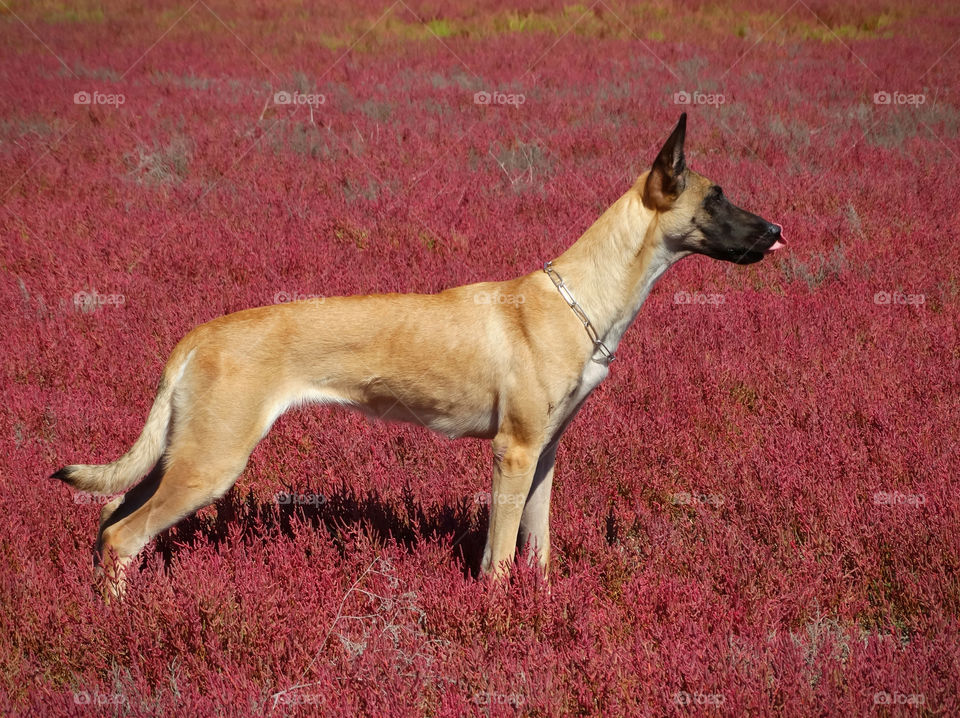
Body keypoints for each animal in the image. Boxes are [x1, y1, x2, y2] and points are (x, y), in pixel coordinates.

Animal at [52, 114, 784, 600]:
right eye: (716, 197)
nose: (779, 230)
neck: (578, 297)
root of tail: (199, 335)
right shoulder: (513, 454)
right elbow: (498, 558)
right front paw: (499, 623)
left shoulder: (544, 455)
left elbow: (538, 549)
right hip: (210, 464)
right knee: (122, 537)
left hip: (180, 457)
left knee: (110, 522)